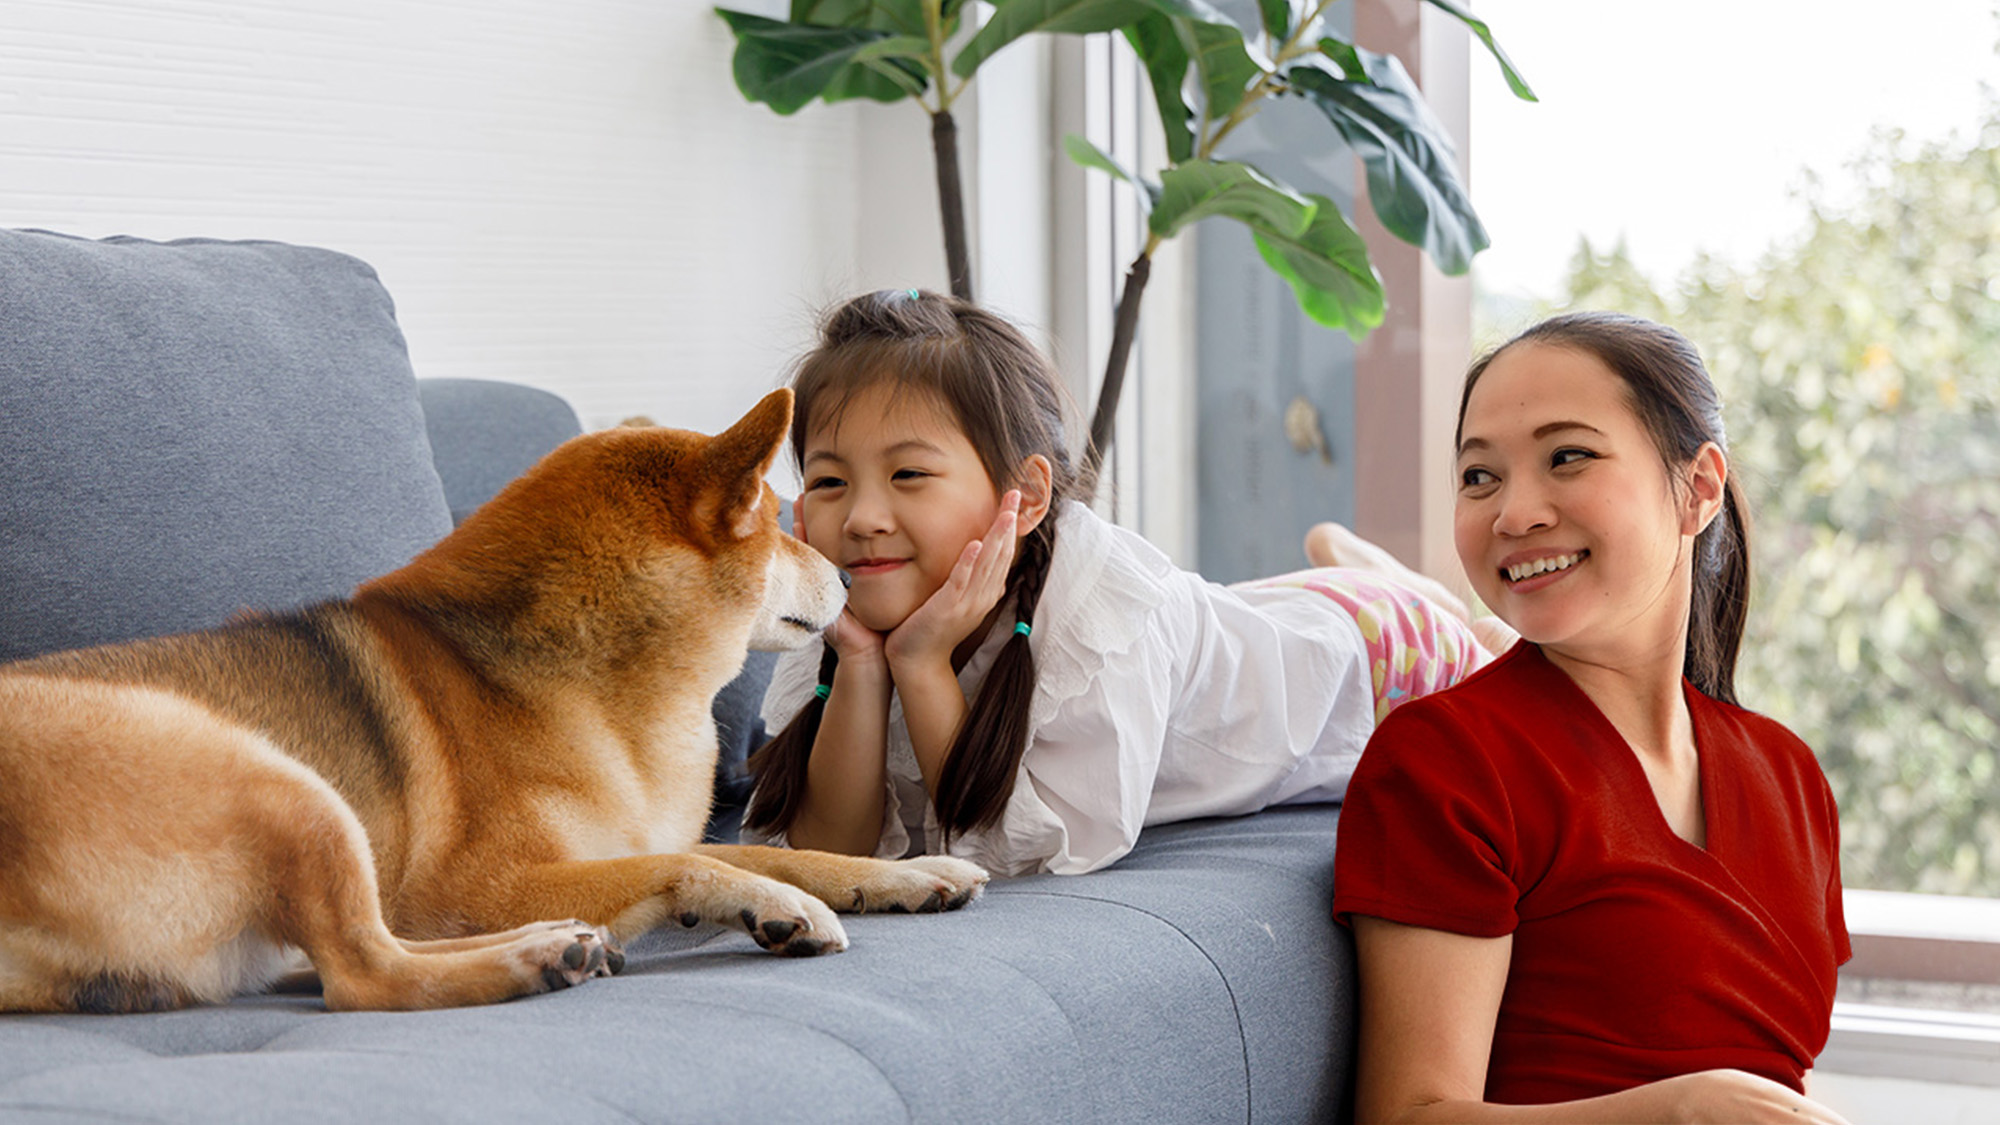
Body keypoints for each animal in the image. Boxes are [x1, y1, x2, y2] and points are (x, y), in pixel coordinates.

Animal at [0, 384, 988, 1008]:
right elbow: (693, 859)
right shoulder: (485, 878)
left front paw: (907, 875)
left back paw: (564, 941)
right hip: (280, 783)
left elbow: (784, 851)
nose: (851, 581)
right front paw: (777, 902)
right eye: (779, 526)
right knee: (364, 972)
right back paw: (535, 954)